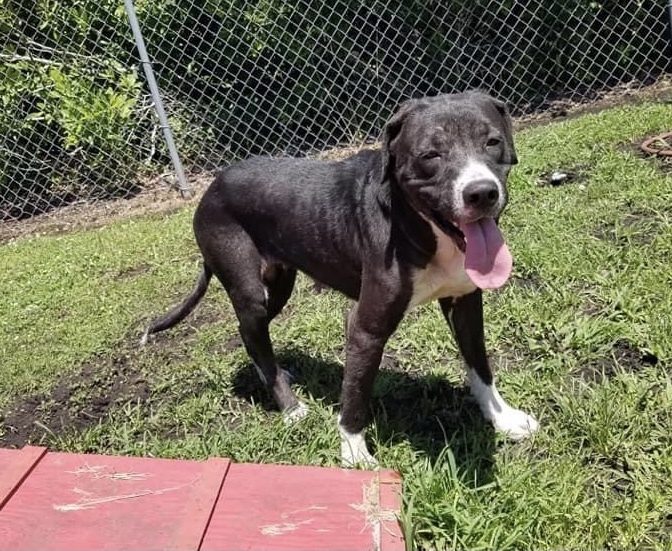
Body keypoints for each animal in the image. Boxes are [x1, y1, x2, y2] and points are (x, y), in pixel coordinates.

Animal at [143, 90, 540, 466]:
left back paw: (274, 377)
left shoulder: (465, 303)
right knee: (251, 328)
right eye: (431, 155)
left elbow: (480, 365)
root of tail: (212, 186)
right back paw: (290, 407)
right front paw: (355, 456)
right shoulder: (365, 327)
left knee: (250, 333)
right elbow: (356, 393)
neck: (420, 226)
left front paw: (502, 418)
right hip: (248, 287)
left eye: (492, 142)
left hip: (280, 283)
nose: (481, 192)